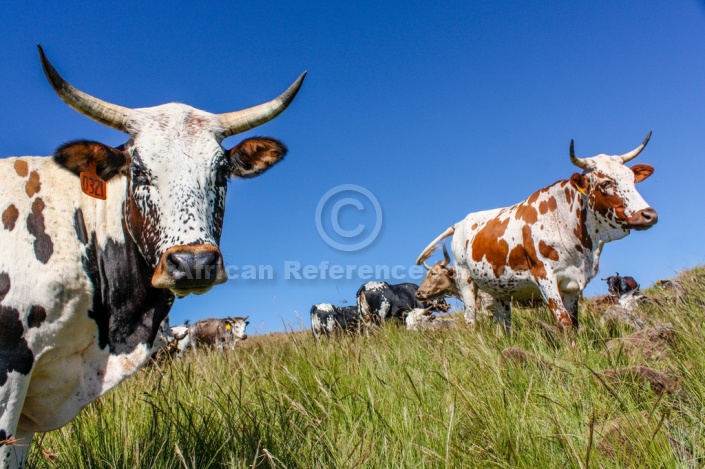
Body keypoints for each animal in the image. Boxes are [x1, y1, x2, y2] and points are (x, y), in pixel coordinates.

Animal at [416, 134, 656, 332]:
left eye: (632, 179)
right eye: (606, 182)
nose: (649, 215)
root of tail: (460, 222)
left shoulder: (572, 285)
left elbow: (574, 322)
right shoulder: (545, 277)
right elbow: (564, 322)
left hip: (499, 289)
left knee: (503, 325)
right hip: (466, 279)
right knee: (470, 319)